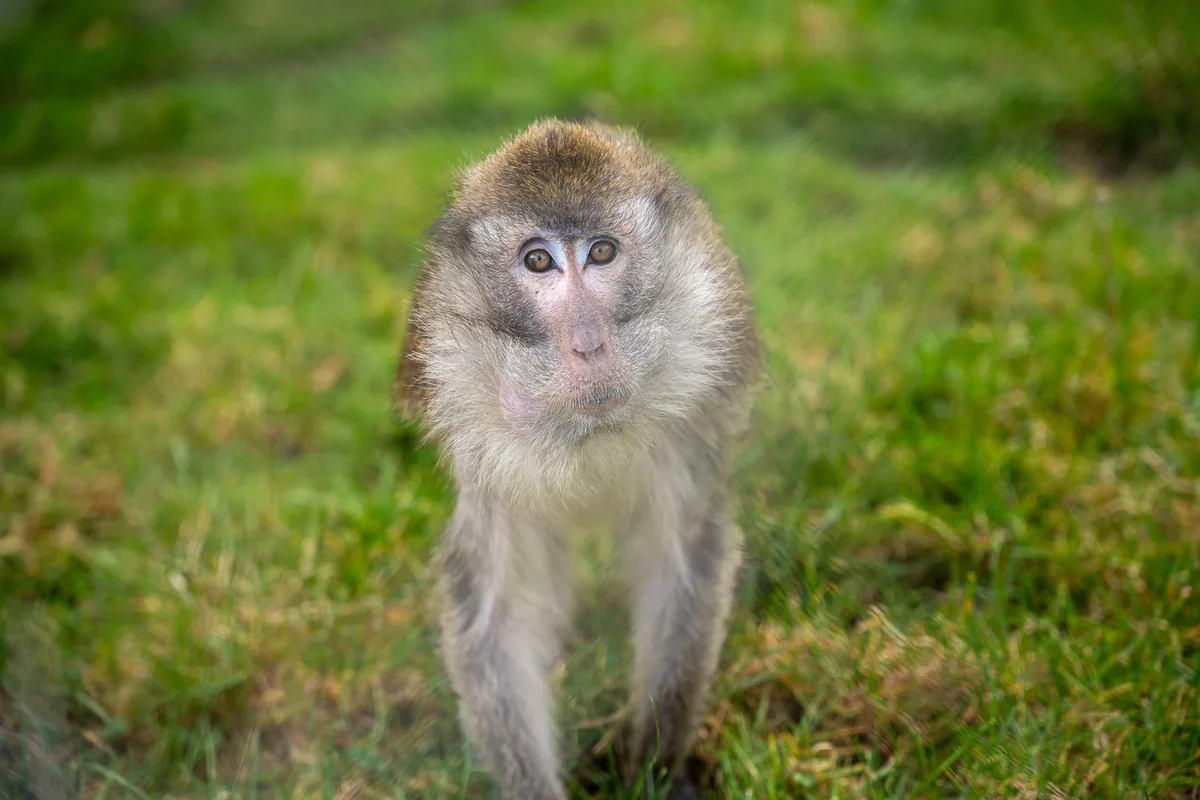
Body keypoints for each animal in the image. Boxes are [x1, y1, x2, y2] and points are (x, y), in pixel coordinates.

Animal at [394, 118, 763, 799]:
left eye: (602, 253)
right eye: (538, 260)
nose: (588, 344)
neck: (581, 433)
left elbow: (683, 563)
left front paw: (655, 766)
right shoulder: (476, 427)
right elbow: (498, 611)